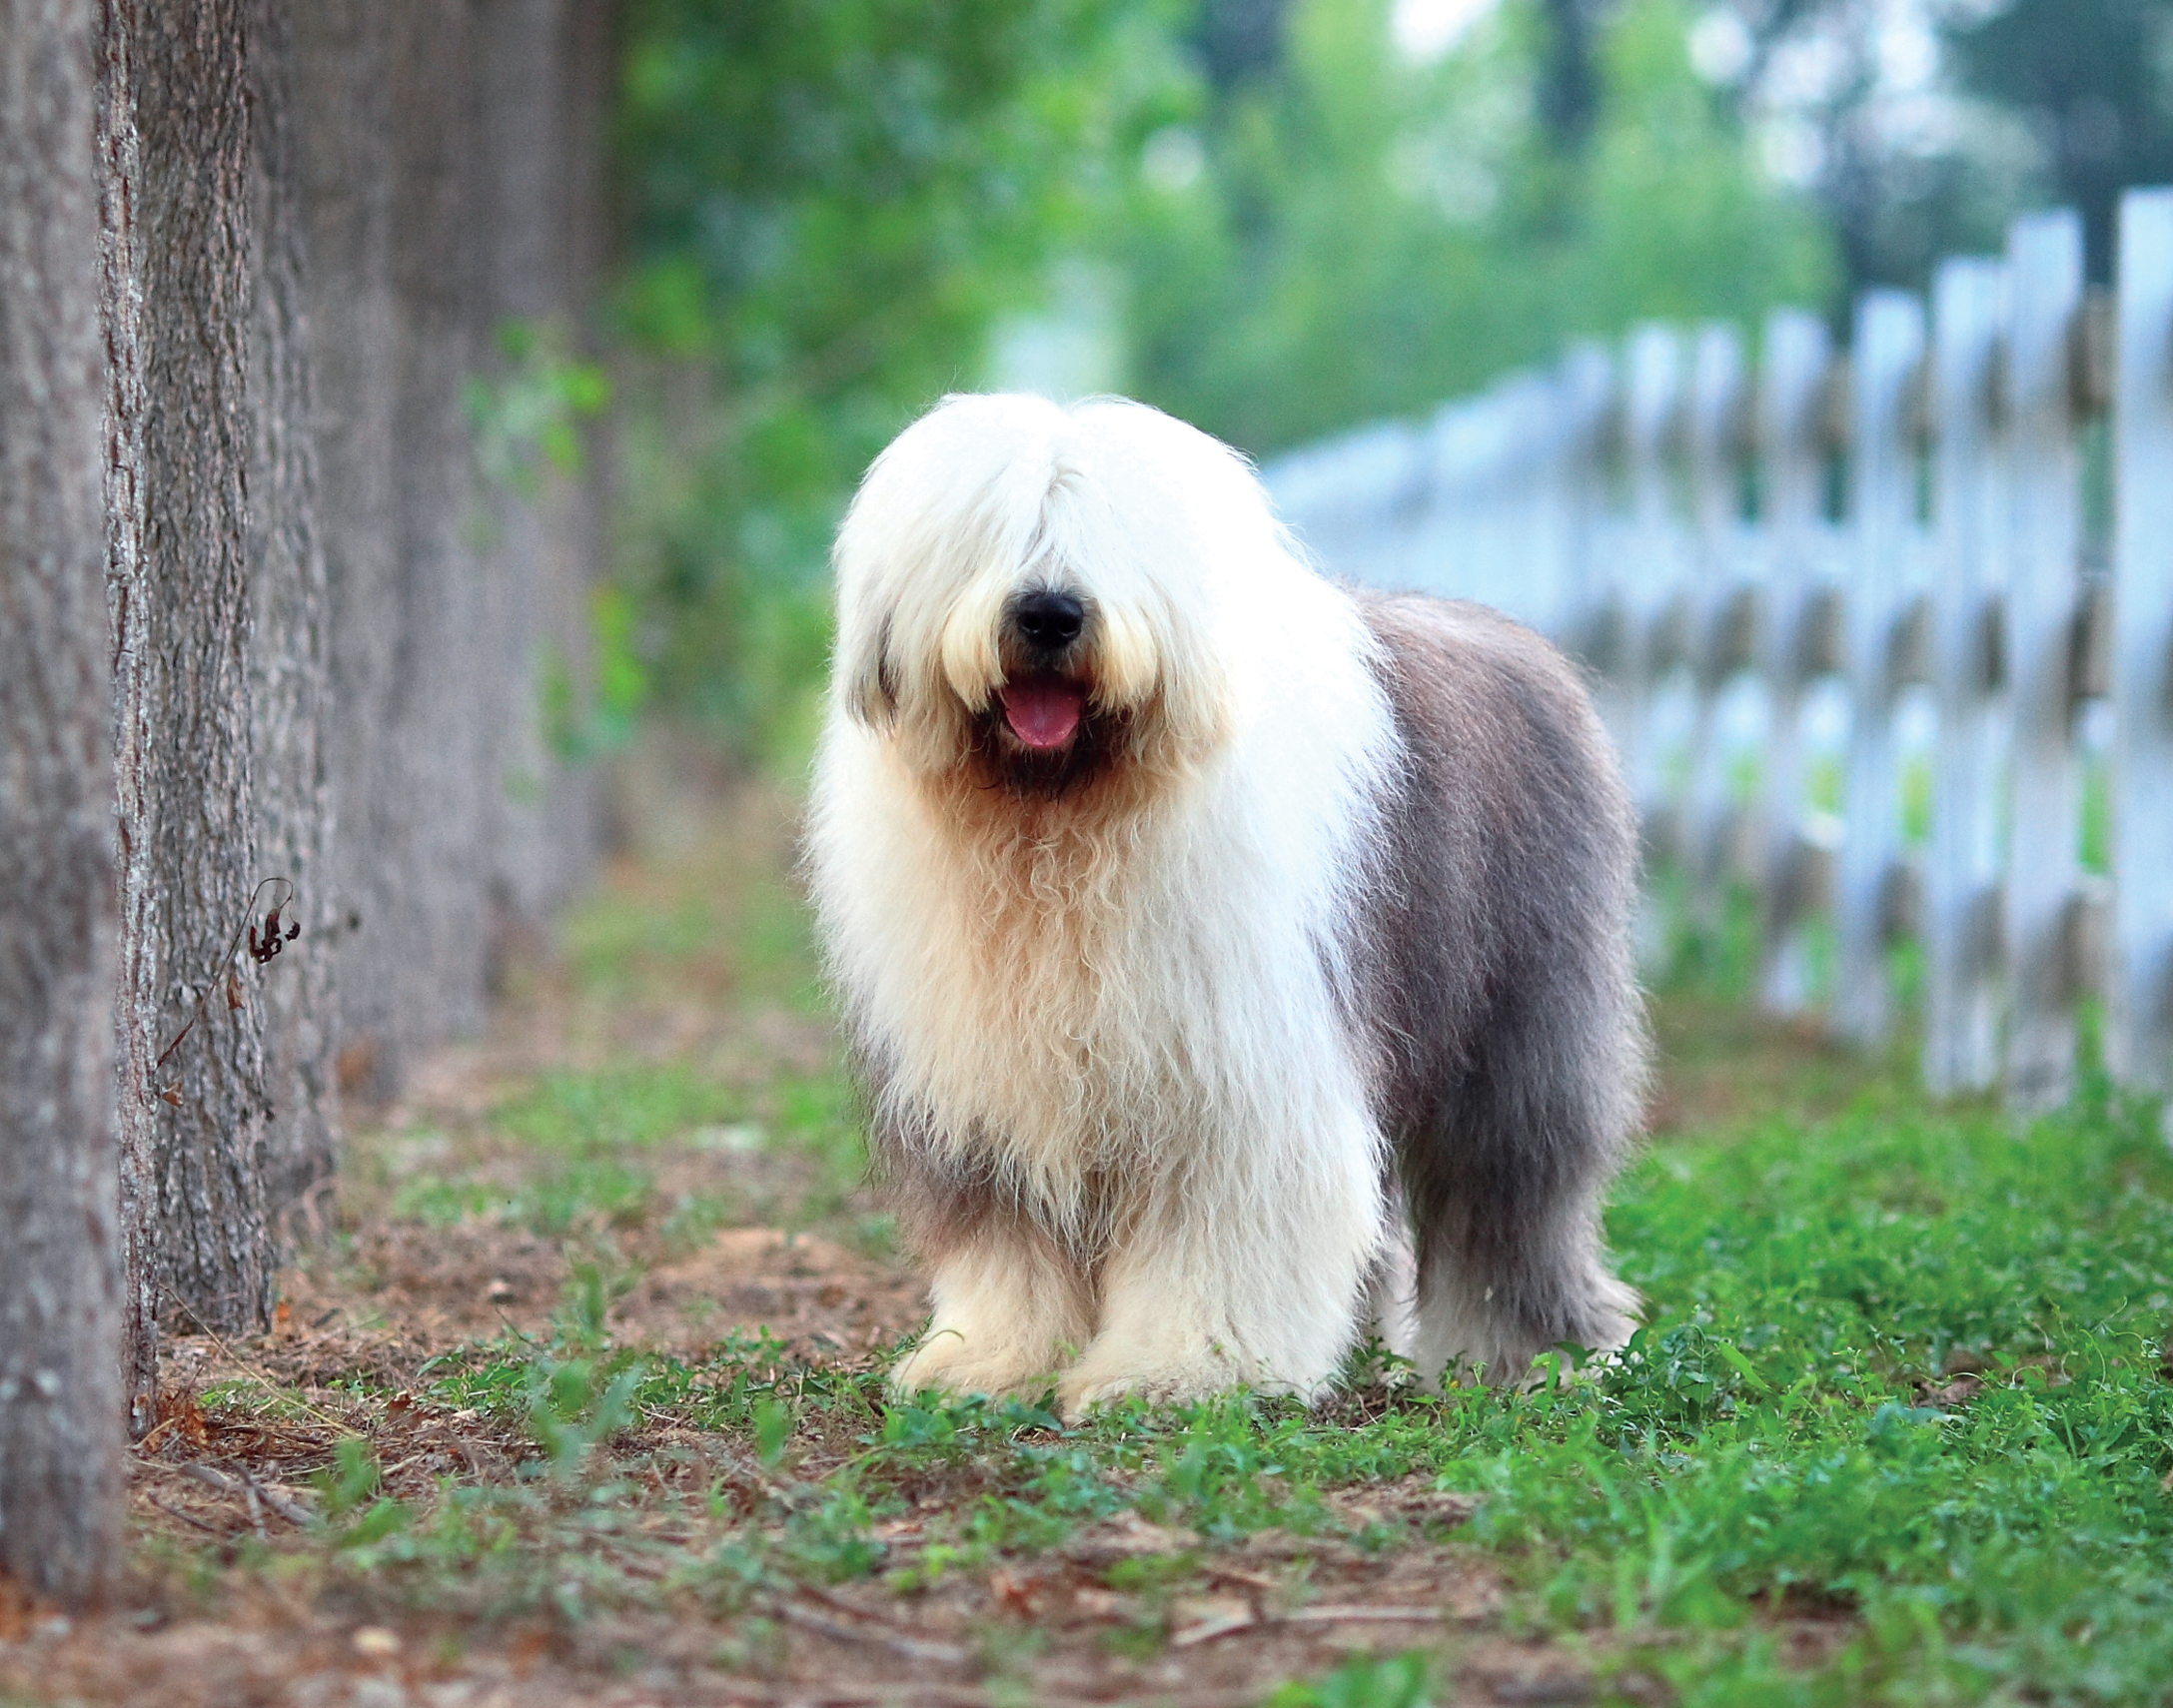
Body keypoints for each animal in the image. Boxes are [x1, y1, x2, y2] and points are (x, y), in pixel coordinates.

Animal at [816, 395, 1642, 1407]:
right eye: (992, 534)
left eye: (1108, 537)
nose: (1049, 612)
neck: (1059, 829)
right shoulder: (985, 1081)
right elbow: (1008, 1239)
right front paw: (992, 1359)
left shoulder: (1239, 1074)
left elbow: (1224, 1225)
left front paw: (1179, 1371)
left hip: (1522, 1029)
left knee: (1512, 1192)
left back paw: (1532, 1357)